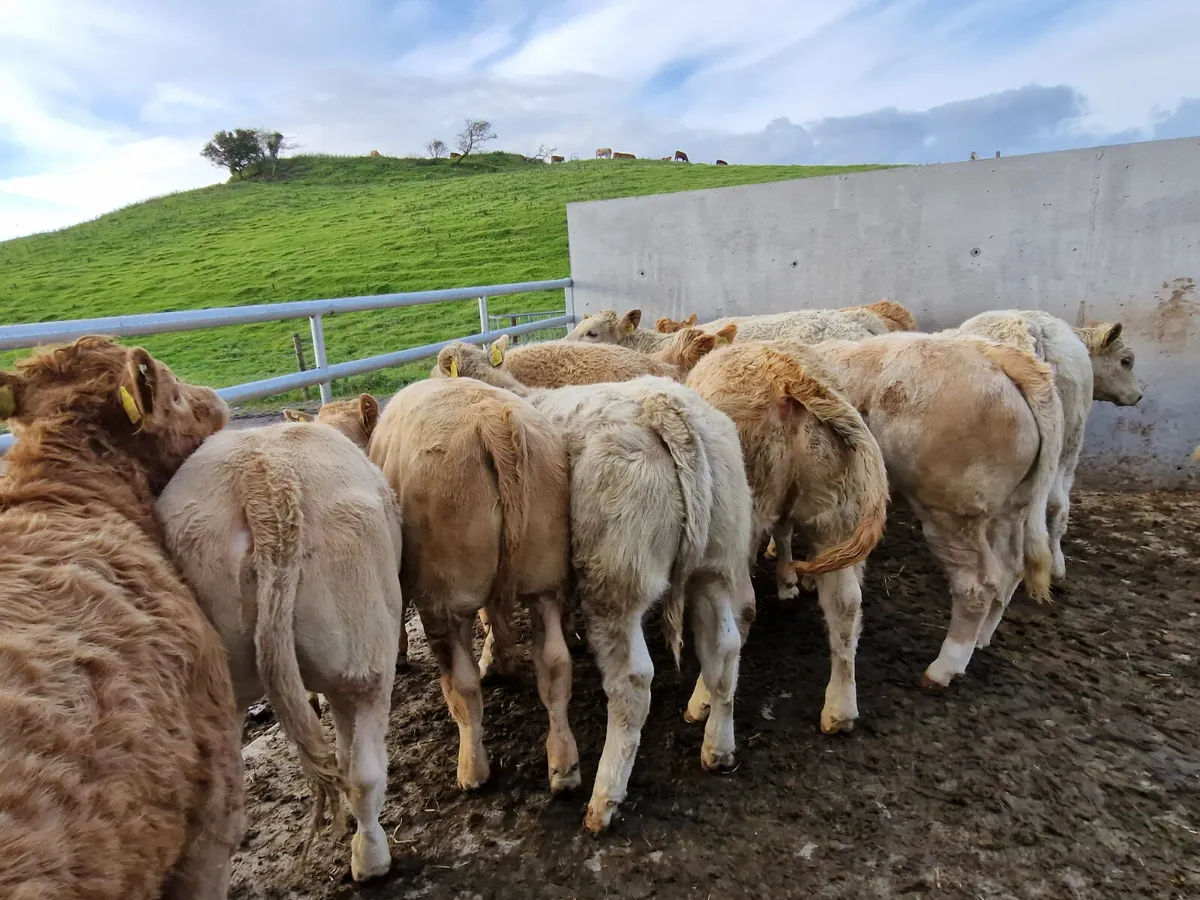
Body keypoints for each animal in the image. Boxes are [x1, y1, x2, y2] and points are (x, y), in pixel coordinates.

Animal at [436, 340, 753, 835]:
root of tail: (665, 406)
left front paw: (491, 658)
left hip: (614, 581)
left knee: (632, 684)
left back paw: (603, 799)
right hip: (717, 563)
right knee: (724, 648)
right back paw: (717, 748)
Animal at [811, 336, 1065, 686]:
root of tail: (992, 355)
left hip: (950, 511)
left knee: (976, 586)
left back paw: (943, 668)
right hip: (1010, 507)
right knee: (1010, 569)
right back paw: (981, 640)